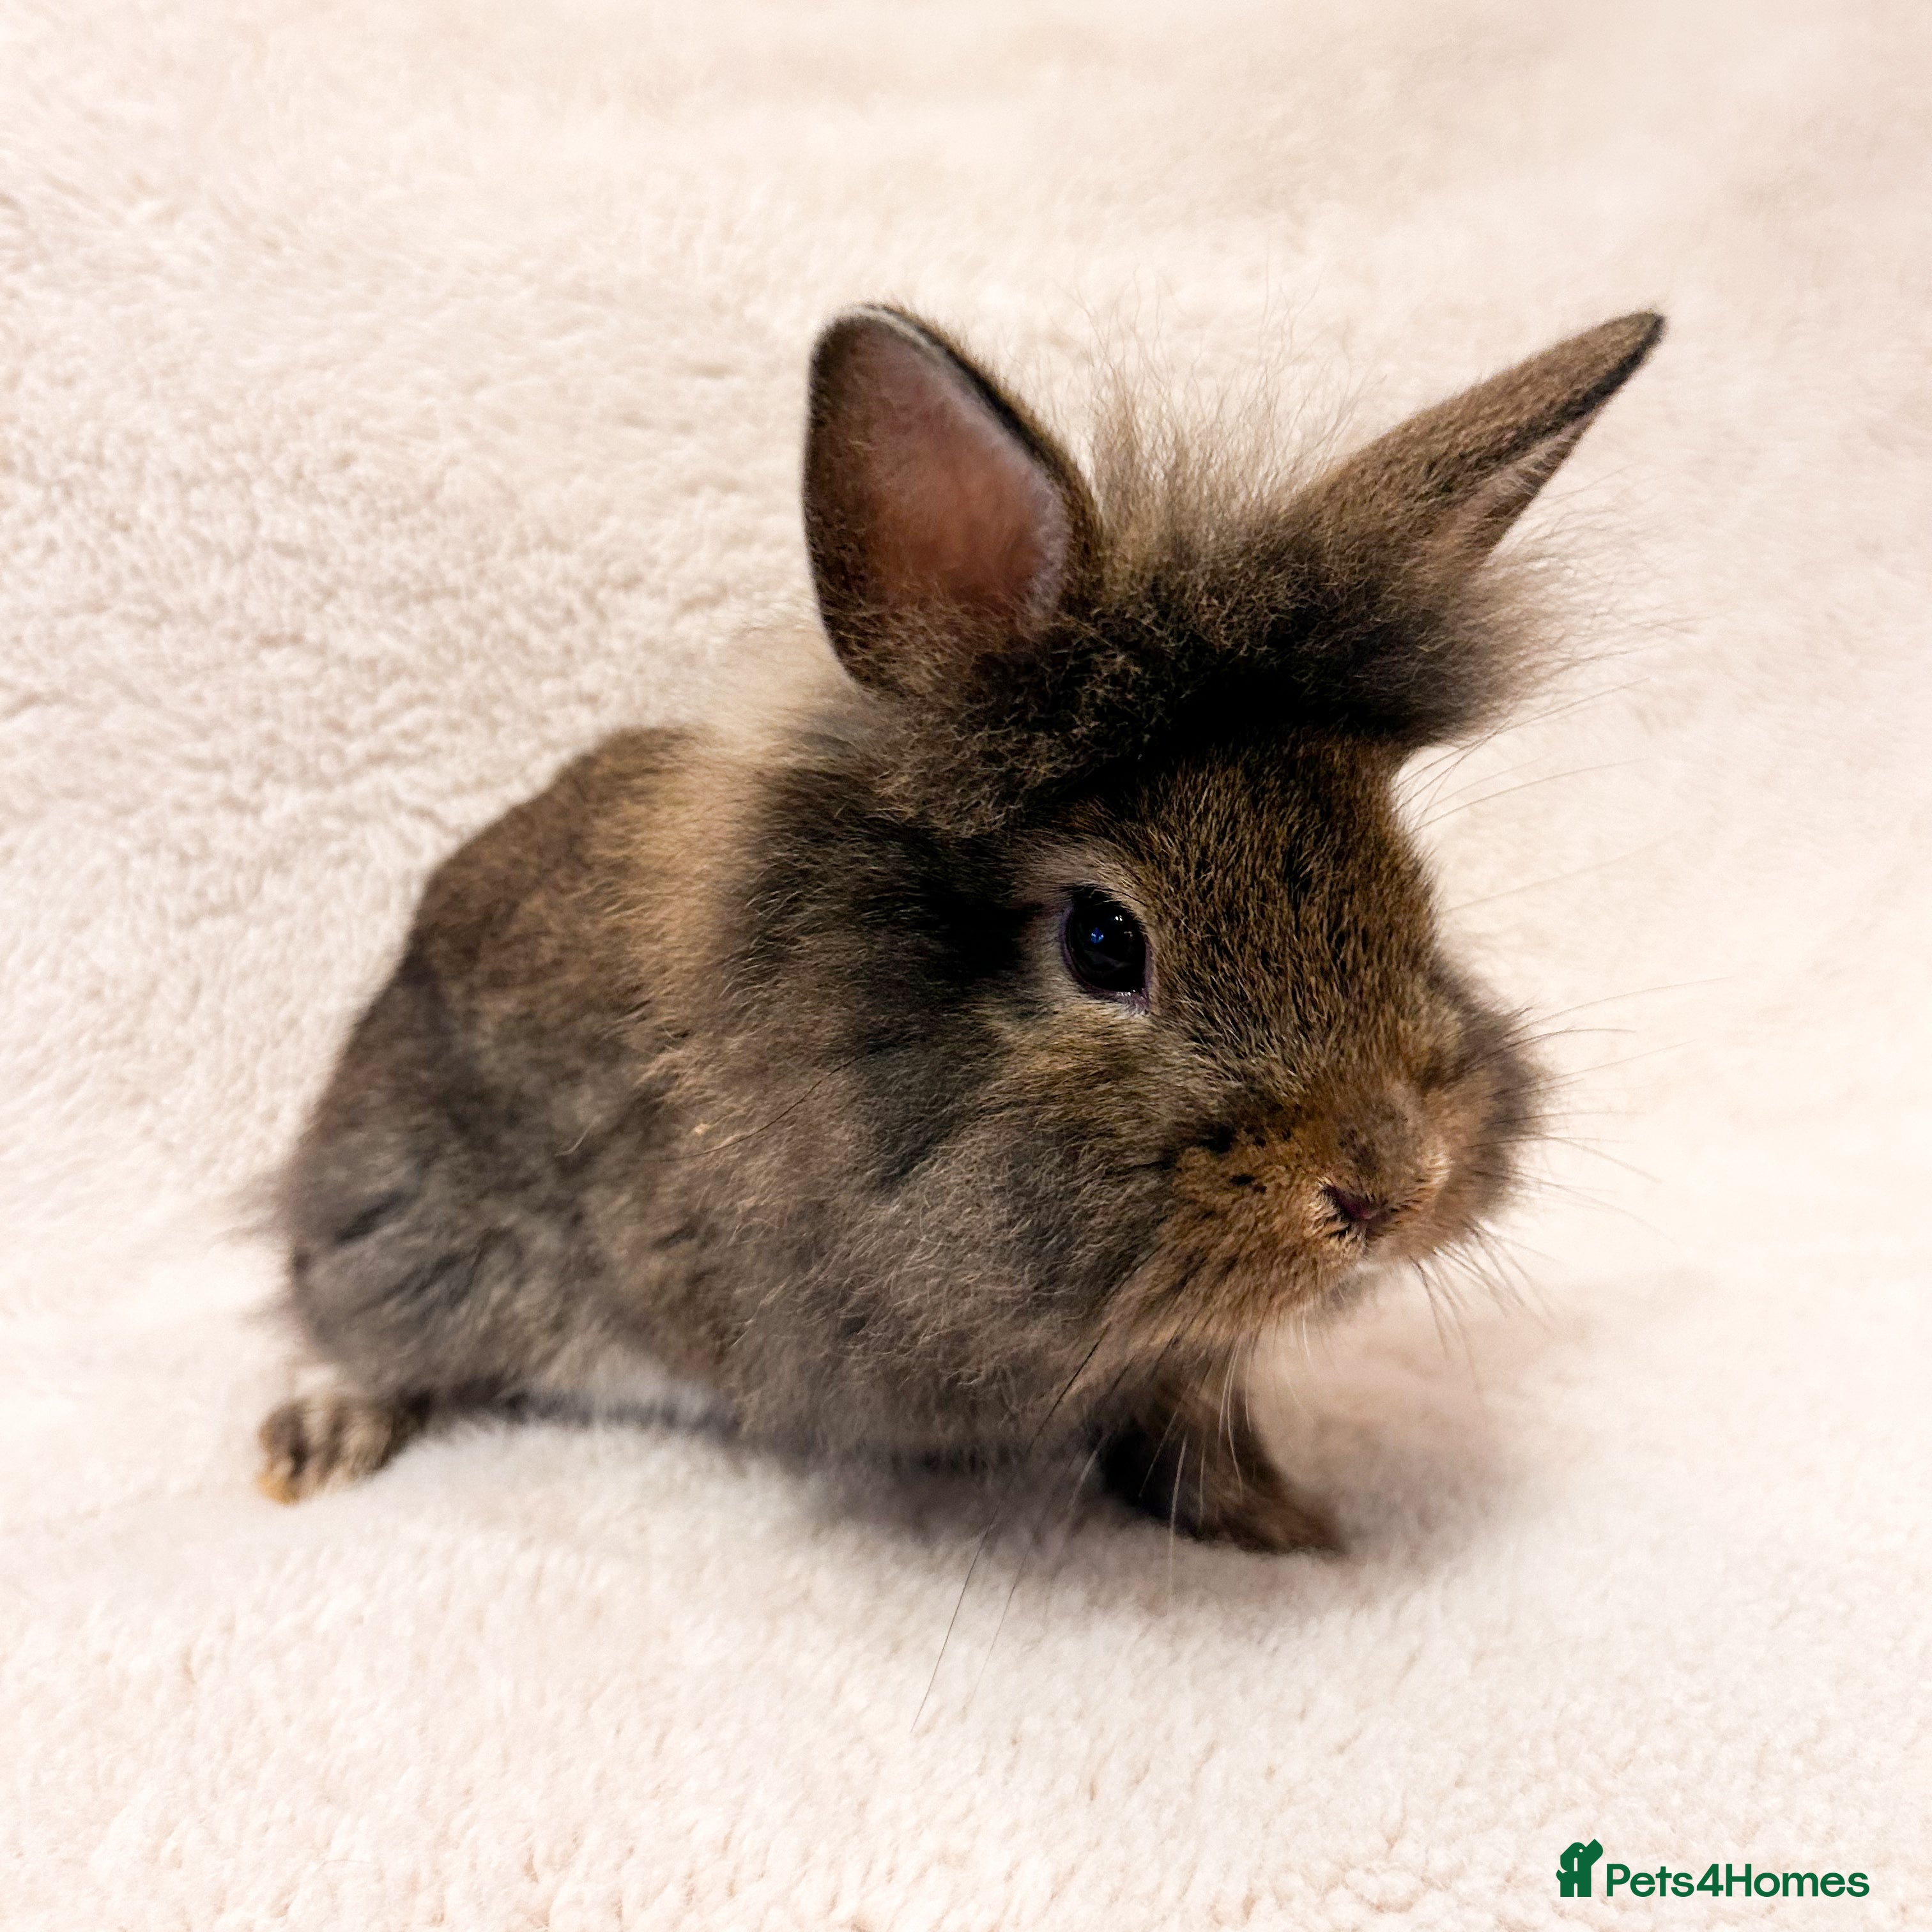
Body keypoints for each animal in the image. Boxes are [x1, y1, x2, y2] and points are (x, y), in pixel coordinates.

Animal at [257, 301, 1662, 1553]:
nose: (1388, 1188)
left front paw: (1281, 1524)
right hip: (407, 1220)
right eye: (1103, 941)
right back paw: (316, 1442)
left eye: (1411, 889)